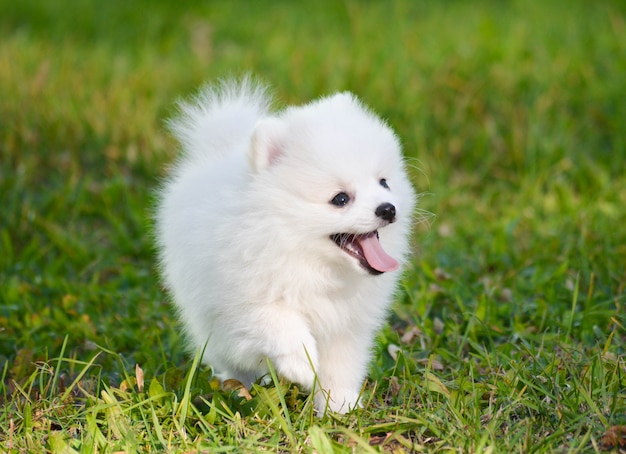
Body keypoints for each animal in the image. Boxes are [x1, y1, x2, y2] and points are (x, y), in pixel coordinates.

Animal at [154, 79, 412, 414]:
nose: (388, 209)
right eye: (340, 198)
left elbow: (341, 364)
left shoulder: (347, 323)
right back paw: (238, 389)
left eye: (383, 182)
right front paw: (302, 364)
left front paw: (339, 405)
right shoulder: (242, 299)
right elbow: (279, 321)